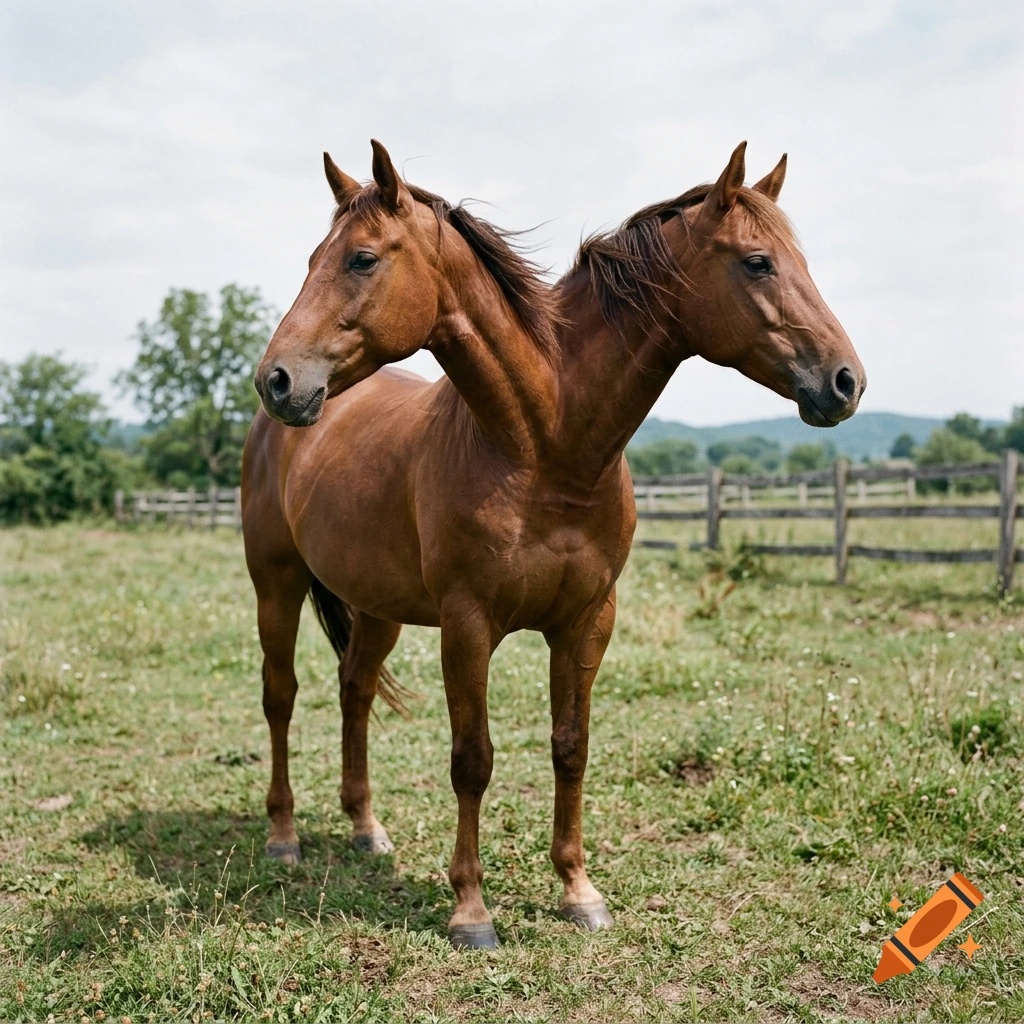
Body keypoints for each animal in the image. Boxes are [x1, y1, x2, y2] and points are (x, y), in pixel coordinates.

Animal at [243, 139, 865, 949]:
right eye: (759, 262)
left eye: (361, 258)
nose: (845, 380)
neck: (545, 447)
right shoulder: (468, 626)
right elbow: (472, 760)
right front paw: (471, 911)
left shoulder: (586, 621)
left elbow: (571, 747)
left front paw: (579, 891)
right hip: (276, 583)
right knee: (280, 696)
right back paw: (283, 837)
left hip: (375, 605)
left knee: (355, 691)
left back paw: (366, 829)